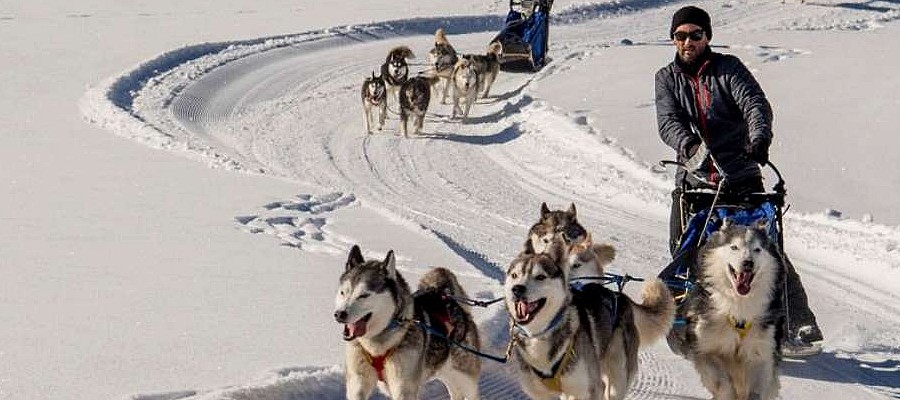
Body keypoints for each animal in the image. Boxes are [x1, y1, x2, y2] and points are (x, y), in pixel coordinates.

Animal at [332, 245, 486, 398]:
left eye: (364, 295)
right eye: (343, 292)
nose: (339, 314)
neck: (376, 347)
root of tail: (447, 298)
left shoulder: (403, 388)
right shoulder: (357, 383)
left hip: (466, 378)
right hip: (444, 371)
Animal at [502, 239, 672, 398]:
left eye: (540, 276)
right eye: (515, 275)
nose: (517, 289)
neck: (539, 336)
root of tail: (621, 296)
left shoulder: (590, 389)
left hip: (617, 379)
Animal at [668, 219, 788, 400]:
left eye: (757, 249)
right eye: (734, 247)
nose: (748, 263)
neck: (739, 307)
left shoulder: (763, 353)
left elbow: (760, 385)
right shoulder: (706, 348)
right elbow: (722, 383)